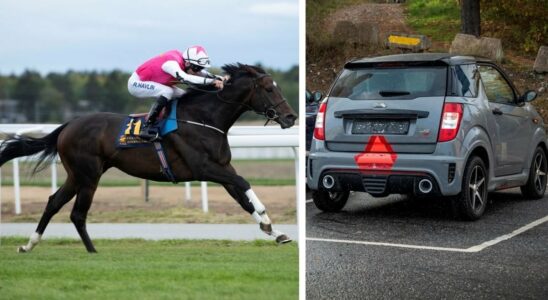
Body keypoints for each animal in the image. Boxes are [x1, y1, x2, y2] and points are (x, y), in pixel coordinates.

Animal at [0, 63, 298, 253]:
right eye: (269, 89)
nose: (291, 117)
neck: (204, 118)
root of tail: (68, 125)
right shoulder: (204, 168)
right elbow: (245, 183)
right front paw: (266, 217)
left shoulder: (222, 167)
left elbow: (243, 198)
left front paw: (275, 232)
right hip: (89, 175)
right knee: (77, 213)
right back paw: (92, 251)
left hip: (78, 174)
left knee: (54, 203)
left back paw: (29, 245)